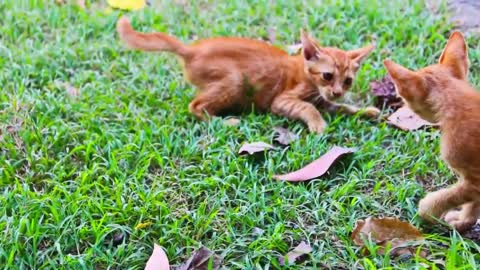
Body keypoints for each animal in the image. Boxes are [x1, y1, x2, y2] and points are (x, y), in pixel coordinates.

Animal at [116, 16, 378, 134]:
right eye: (327, 76)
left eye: (347, 81)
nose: (337, 91)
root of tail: (191, 49)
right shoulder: (282, 101)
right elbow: (308, 107)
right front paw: (318, 124)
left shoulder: (327, 102)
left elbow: (342, 108)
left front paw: (365, 110)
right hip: (235, 81)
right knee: (195, 106)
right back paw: (226, 122)